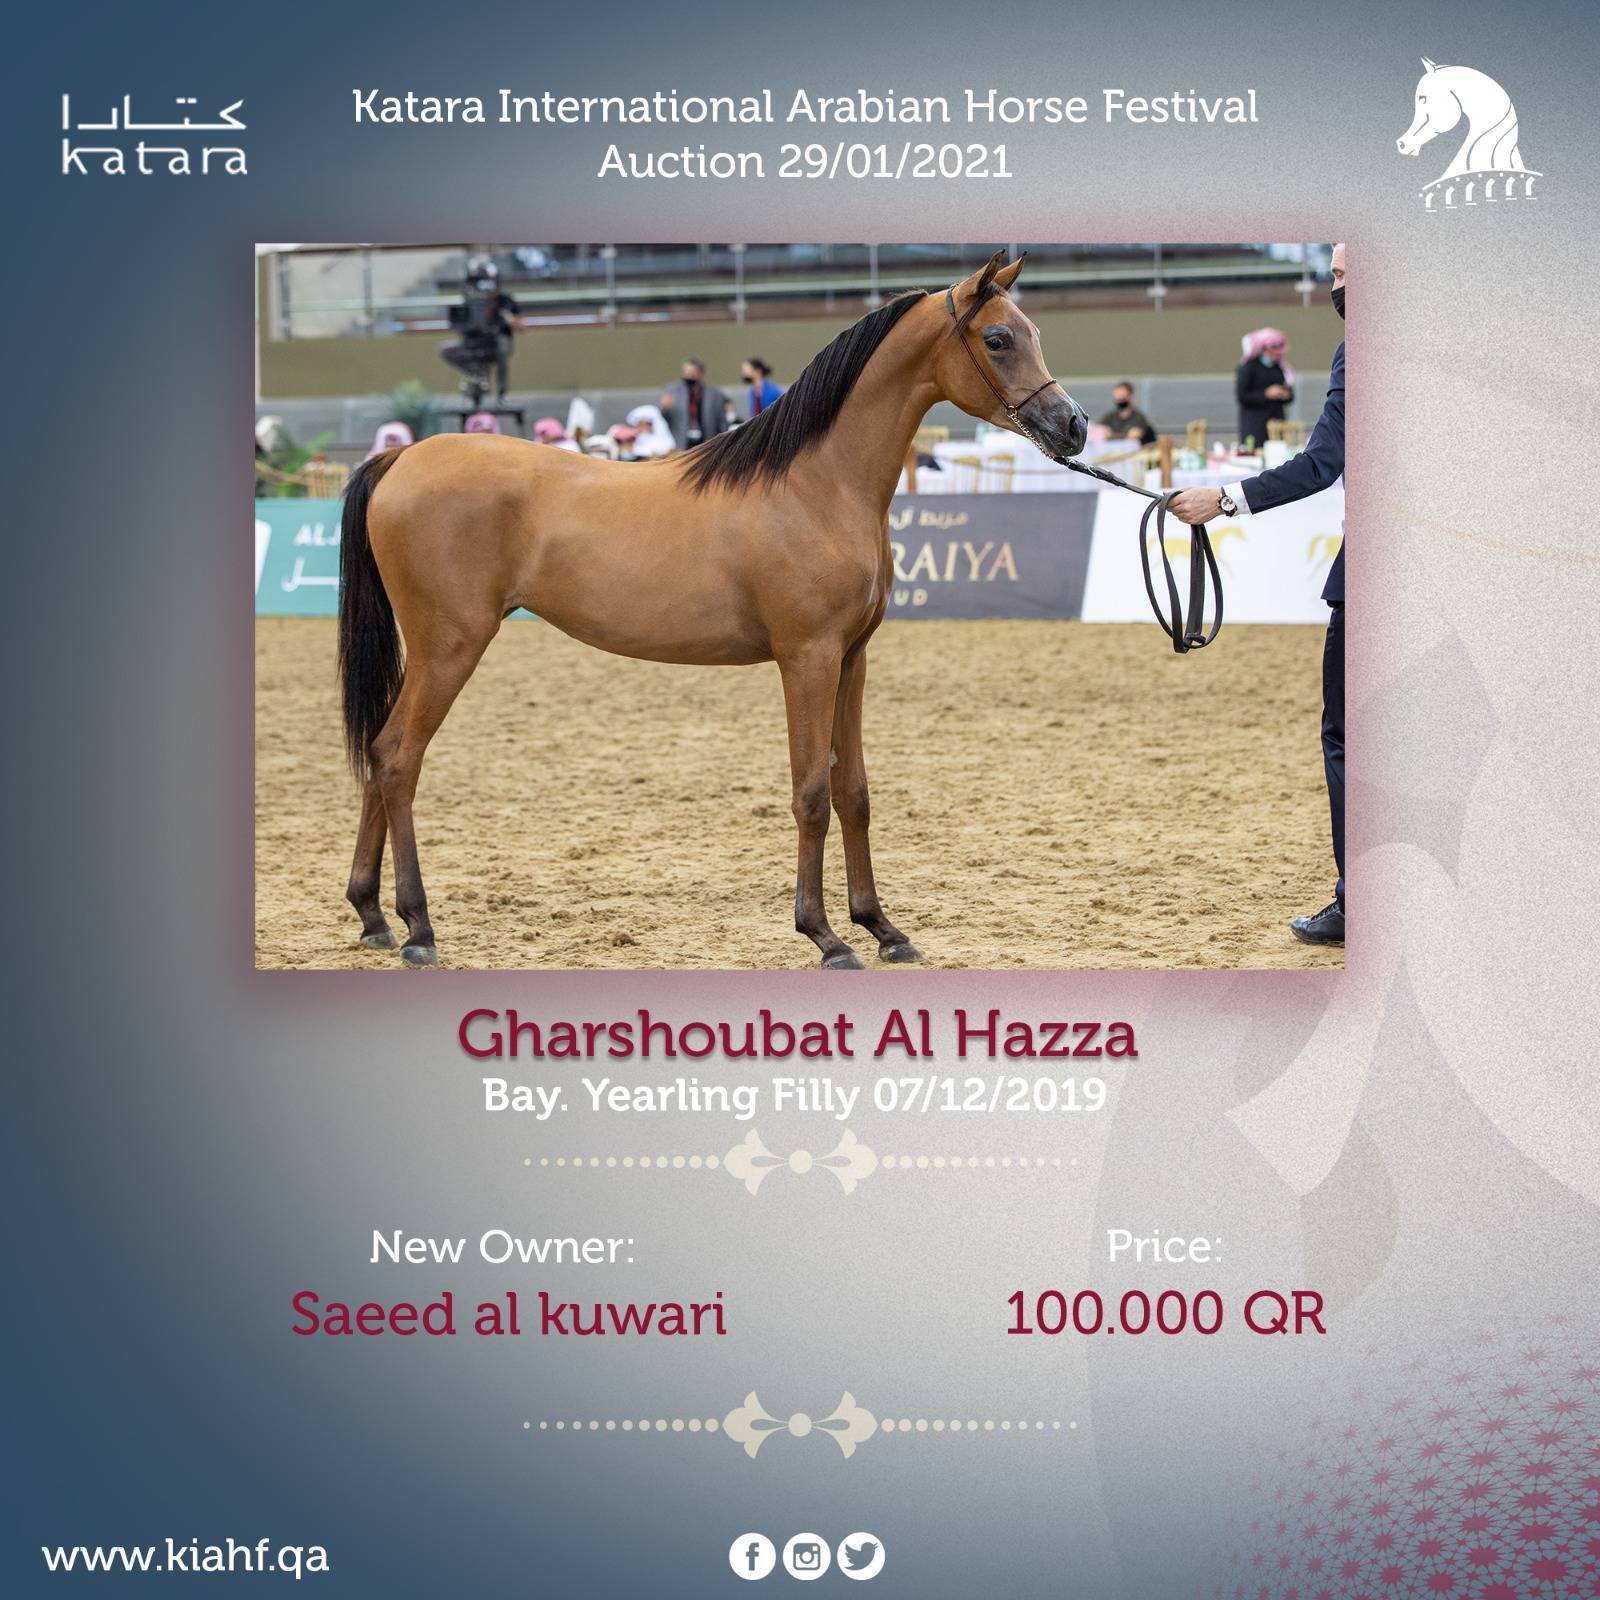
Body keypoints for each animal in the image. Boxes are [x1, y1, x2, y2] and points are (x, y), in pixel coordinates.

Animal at [336, 251, 1087, 969]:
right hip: (450, 648)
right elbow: (811, 792)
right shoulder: (807, 658)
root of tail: (400, 459)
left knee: (378, 750)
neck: (817, 485)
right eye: (997, 339)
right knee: (399, 758)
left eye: (1034, 333)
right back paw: (418, 927)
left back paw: (373, 917)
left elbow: (854, 792)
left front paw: (882, 928)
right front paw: (825, 937)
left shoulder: (852, 658)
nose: (1072, 427)